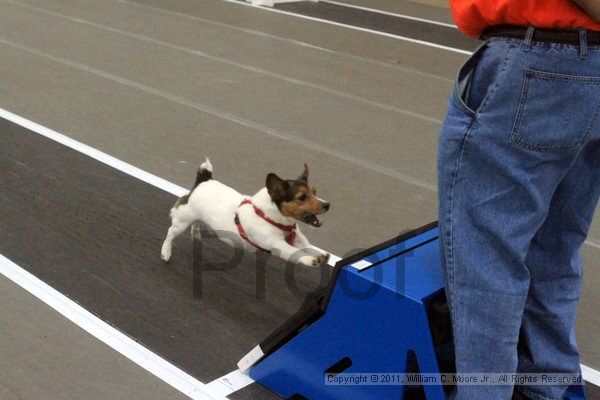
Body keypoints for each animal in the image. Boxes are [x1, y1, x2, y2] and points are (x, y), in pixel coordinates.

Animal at [162, 159, 330, 266]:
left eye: (315, 192)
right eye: (302, 197)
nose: (327, 205)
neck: (269, 216)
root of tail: (203, 181)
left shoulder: (300, 241)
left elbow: (308, 247)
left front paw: (321, 256)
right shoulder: (277, 245)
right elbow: (296, 253)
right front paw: (311, 260)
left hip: (196, 216)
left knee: (196, 223)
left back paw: (196, 234)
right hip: (182, 221)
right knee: (170, 232)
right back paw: (166, 252)